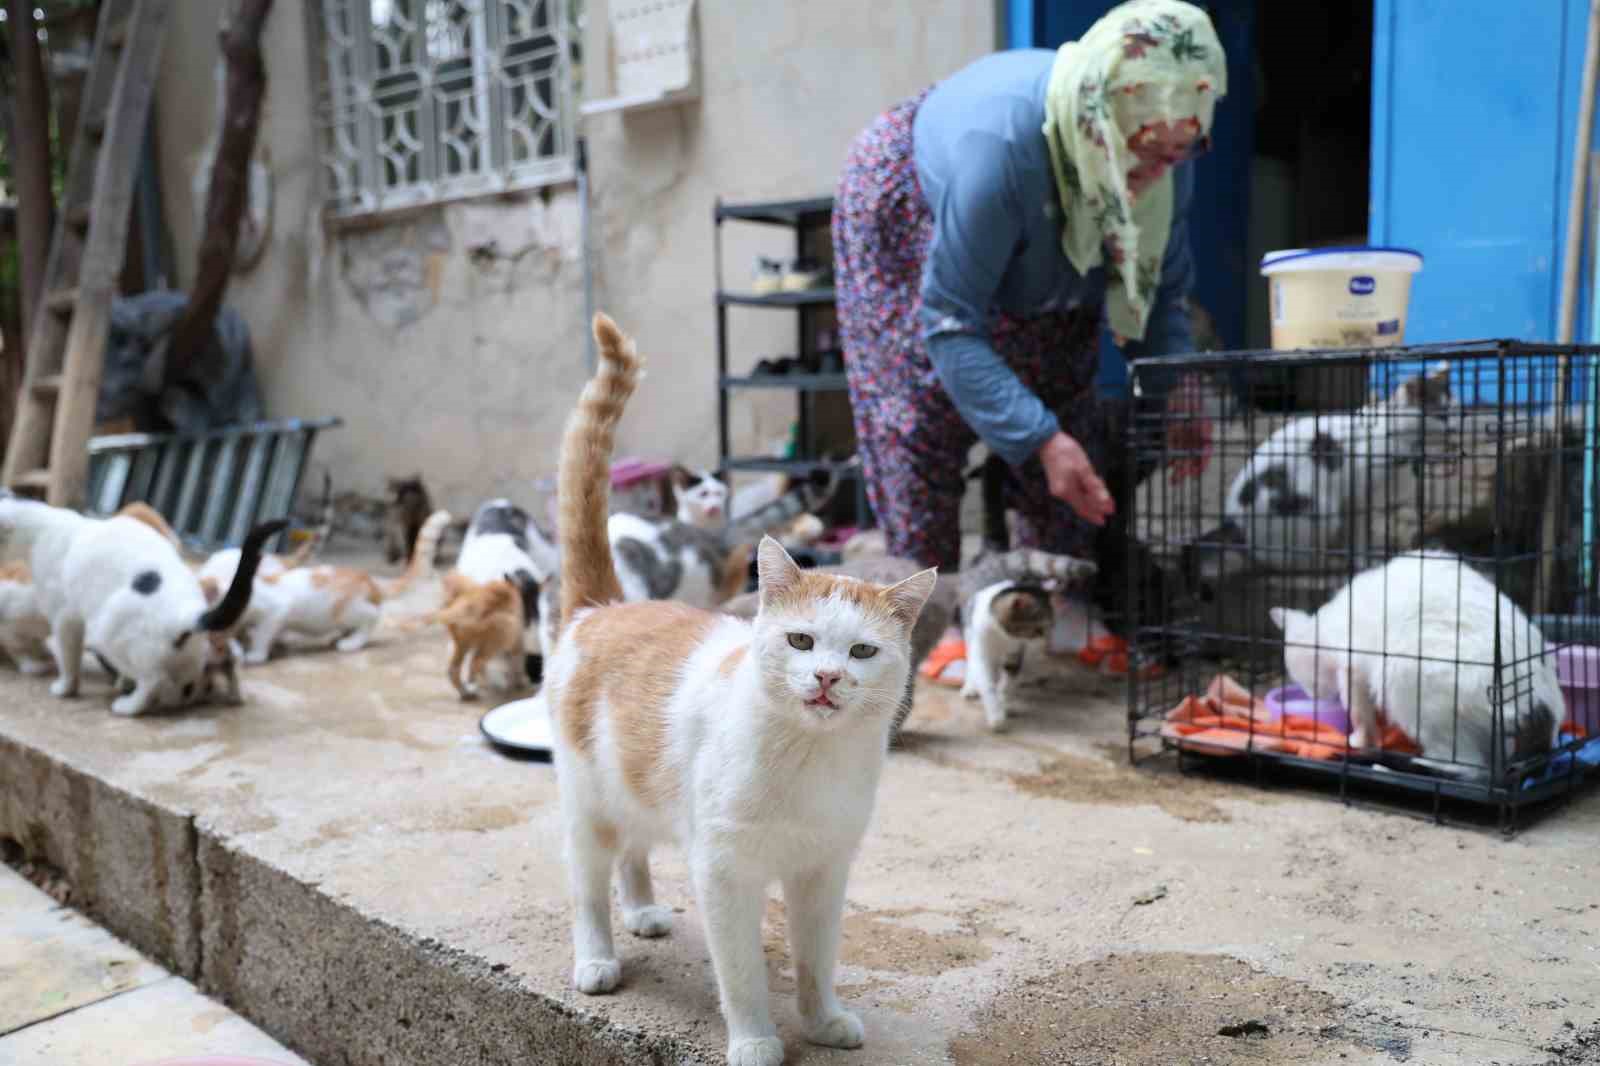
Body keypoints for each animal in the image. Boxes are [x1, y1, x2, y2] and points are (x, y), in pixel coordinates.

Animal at [0, 492, 281, 713]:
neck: (41, 529)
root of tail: (189, 614)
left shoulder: (65, 619)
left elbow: (68, 659)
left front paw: (65, 688)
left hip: (111, 634)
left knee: (152, 681)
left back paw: (128, 706)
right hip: (187, 660)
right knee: (189, 685)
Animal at [547, 308, 934, 1062]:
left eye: (863, 650)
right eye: (802, 641)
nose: (827, 676)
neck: (809, 760)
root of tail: (603, 606)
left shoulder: (823, 872)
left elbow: (817, 959)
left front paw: (822, 1021)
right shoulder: (725, 873)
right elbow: (743, 974)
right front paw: (757, 1041)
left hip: (637, 791)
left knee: (634, 851)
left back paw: (642, 909)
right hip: (588, 806)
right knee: (587, 882)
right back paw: (598, 956)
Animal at [1184, 361, 1459, 585]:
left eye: (1457, 410)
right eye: (1441, 415)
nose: (1456, 427)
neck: (1389, 431)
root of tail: (1235, 524)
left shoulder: (1352, 501)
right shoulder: (1361, 496)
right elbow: (1360, 534)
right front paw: (1364, 561)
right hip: (1318, 511)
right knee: (1282, 562)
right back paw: (1324, 561)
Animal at [1267, 547, 1555, 771]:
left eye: (1307, 683)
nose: (1313, 695)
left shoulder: (1352, 667)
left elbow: (1359, 711)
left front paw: (1359, 740)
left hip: (1402, 676)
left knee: (1466, 763)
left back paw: (1415, 763)